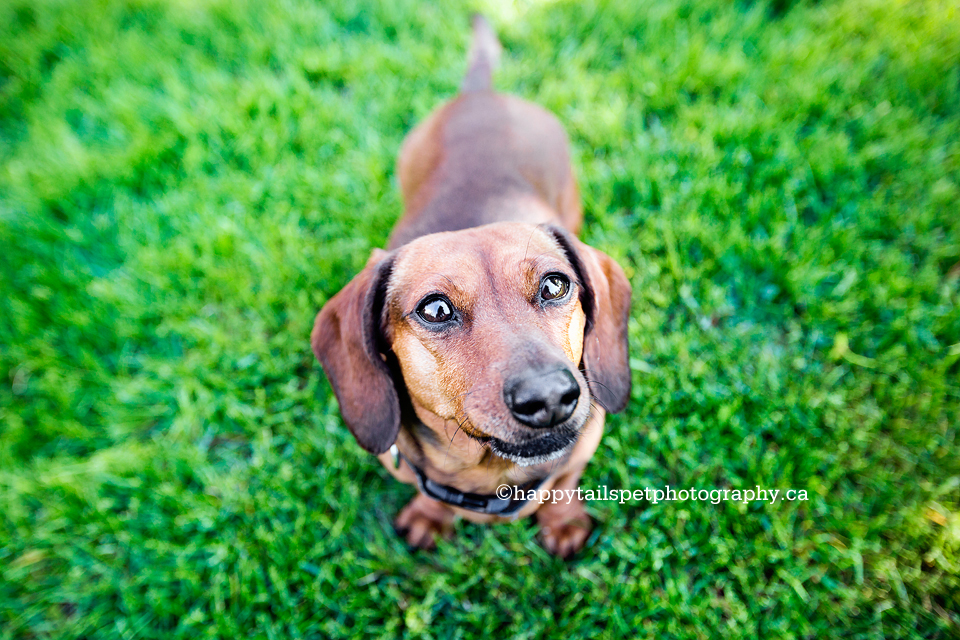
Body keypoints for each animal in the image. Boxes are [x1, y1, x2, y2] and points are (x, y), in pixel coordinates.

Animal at [312, 13, 632, 556]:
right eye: (436, 309)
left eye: (555, 286)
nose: (549, 397)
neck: (493, 477)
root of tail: (482, 94)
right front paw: (430, 516)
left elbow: (564, 480)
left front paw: (563, 522)